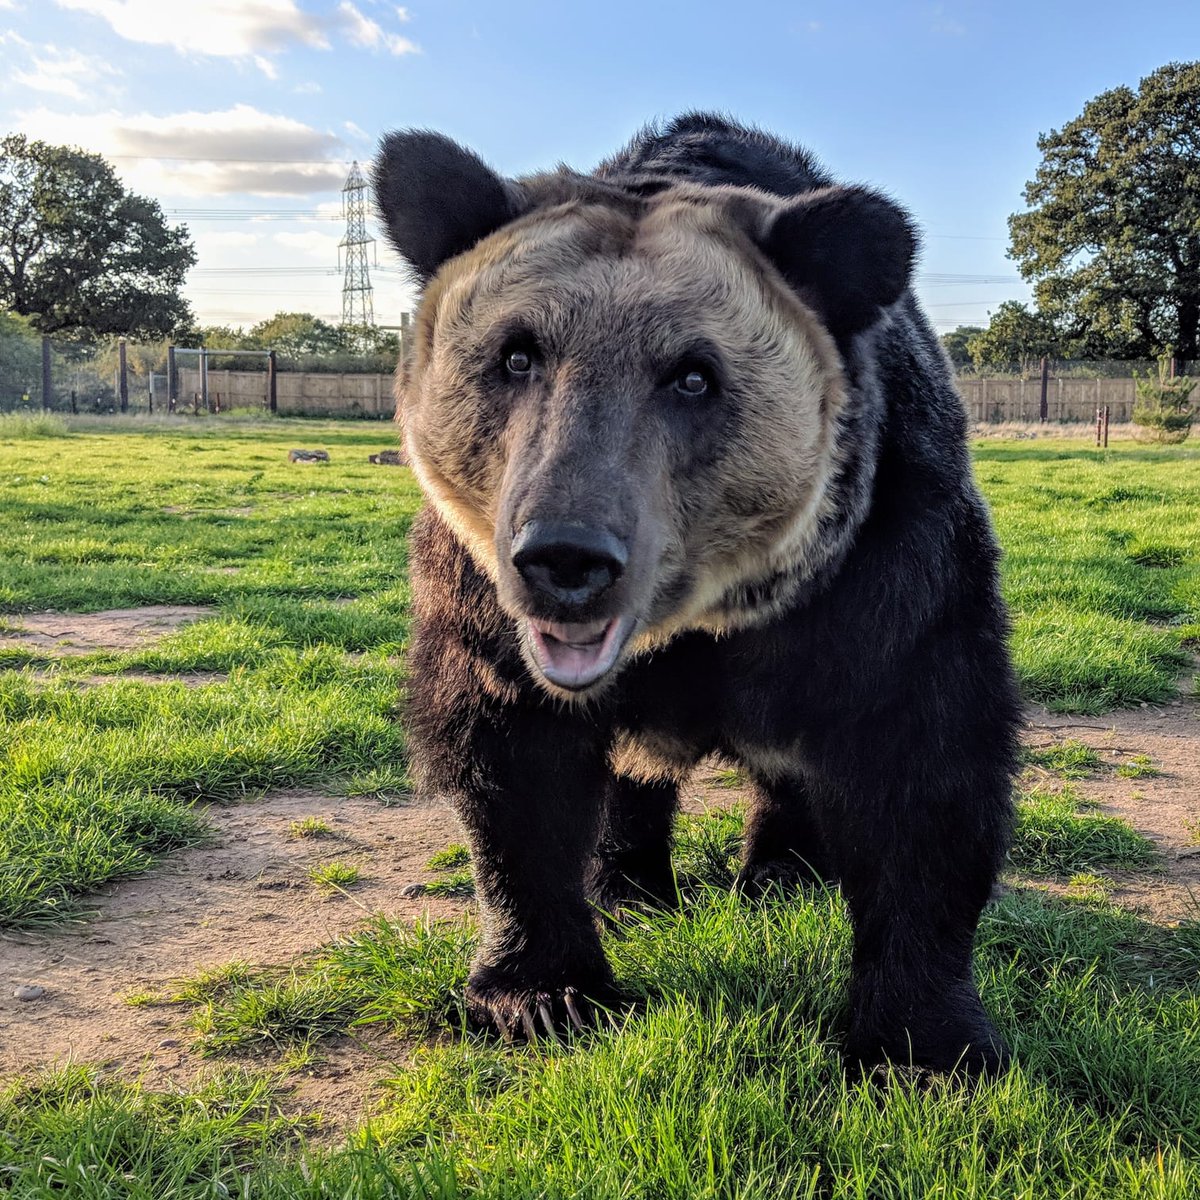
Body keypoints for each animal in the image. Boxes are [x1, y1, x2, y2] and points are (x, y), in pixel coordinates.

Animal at [372, 113, 1020, 1073]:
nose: (566, 557)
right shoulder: (481, 595)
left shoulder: (883, 565)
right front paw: (541, 993)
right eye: (516, 354)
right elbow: (511, 761)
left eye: (692, 374)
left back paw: (784, 876)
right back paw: (628, 884)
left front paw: (921, 1040)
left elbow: (921, 763)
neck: (692, 630)